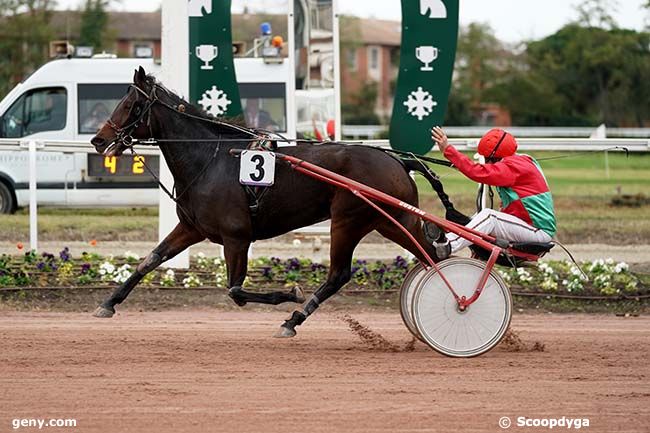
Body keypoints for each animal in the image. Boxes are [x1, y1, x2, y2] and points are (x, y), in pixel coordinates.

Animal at [90, 67, 460, 338]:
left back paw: (294, 319)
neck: (210, 159)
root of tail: (399, 160)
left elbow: (235, 291)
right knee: (433, 255)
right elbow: (149, 260)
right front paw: (108, 303)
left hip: (349, 220)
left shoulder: (236, 237)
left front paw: (290, 293)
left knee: (341, 273)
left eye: (131, 106)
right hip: (391, 220)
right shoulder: (192, 228)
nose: (98, 140)